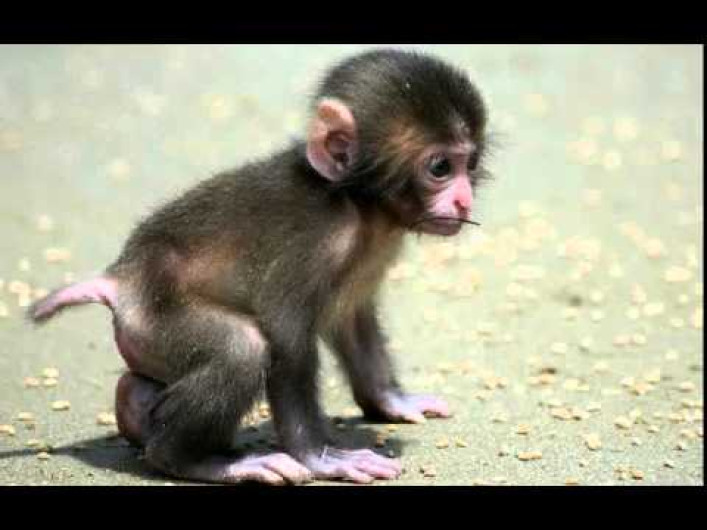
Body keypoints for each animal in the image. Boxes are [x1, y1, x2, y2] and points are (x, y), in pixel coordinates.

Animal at [28, 49, 490, 485]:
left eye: (469, 164)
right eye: (440, 167)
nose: (464, 200)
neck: (357, 204)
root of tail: (121, 279)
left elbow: (351, 321)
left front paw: (392, 401)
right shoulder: (314, 244)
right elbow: (285, 336)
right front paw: (321, 458)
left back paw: (135, 410)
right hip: (154, 317)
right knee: (242, 349)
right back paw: (197, 461)